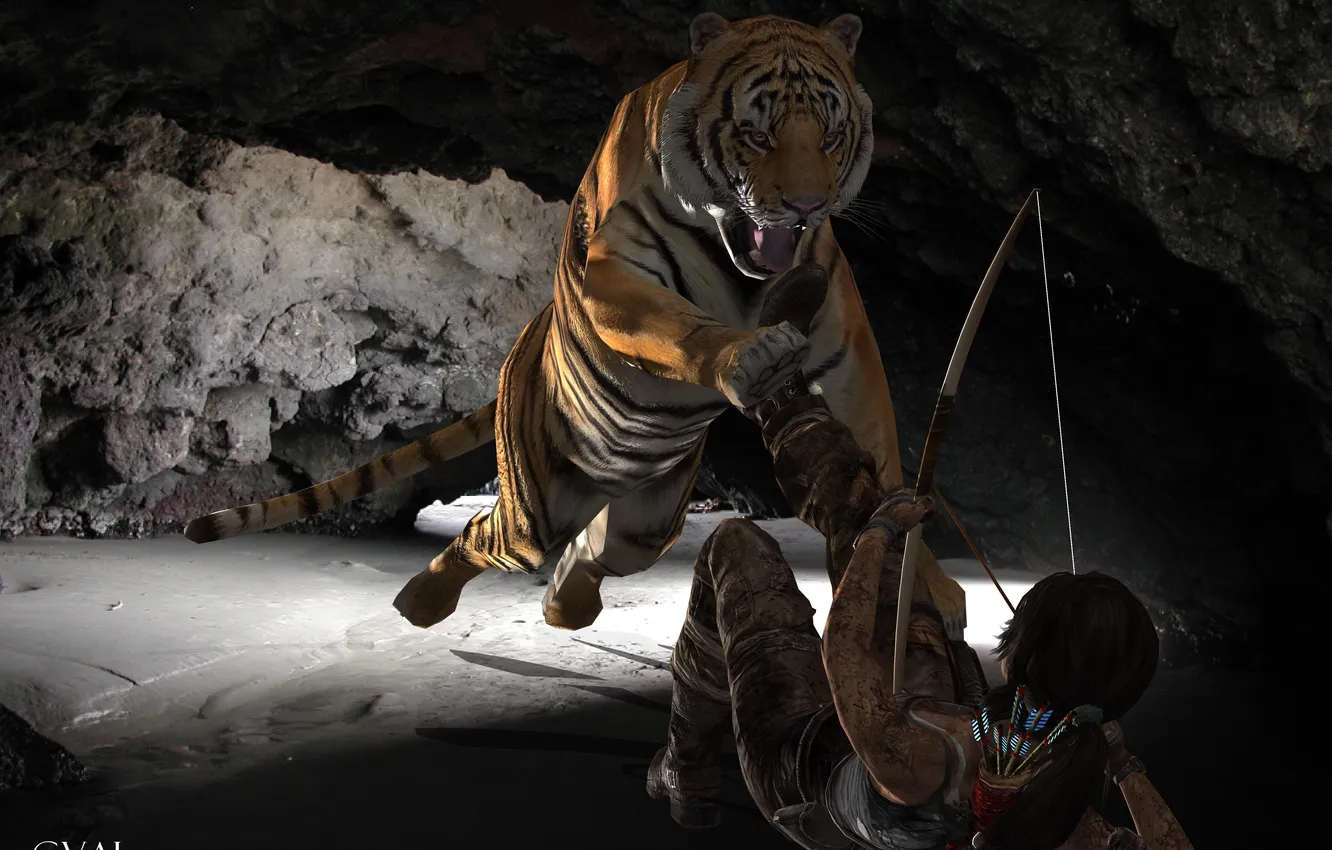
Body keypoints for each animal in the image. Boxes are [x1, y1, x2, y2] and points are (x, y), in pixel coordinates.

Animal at [185, 12, 967, 638]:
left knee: (600, 549)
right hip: (534, 508)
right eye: (756, 132)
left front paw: (921, 583)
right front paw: (745, 357)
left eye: (831, 135)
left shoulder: (842, 341)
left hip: (649, 517)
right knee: (484, 536)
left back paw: (565, 605)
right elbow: (682, 327)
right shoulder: (617, 279)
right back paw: (420, 601)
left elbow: (881, 449)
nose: (806, 206)